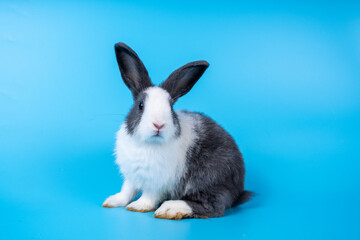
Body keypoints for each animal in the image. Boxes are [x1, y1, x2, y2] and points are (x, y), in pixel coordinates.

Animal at [102, 41, 252, 219]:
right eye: (140, 105)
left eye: (170, 107)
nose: (158, 125)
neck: (147, 144)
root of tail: (238, 189)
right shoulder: (132, 175)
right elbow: (127, 190)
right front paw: (112, 201)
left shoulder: (158, 182)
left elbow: (149, 196)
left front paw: (138, 206)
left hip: (211, 177)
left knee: (213, 206)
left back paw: (170, 209)